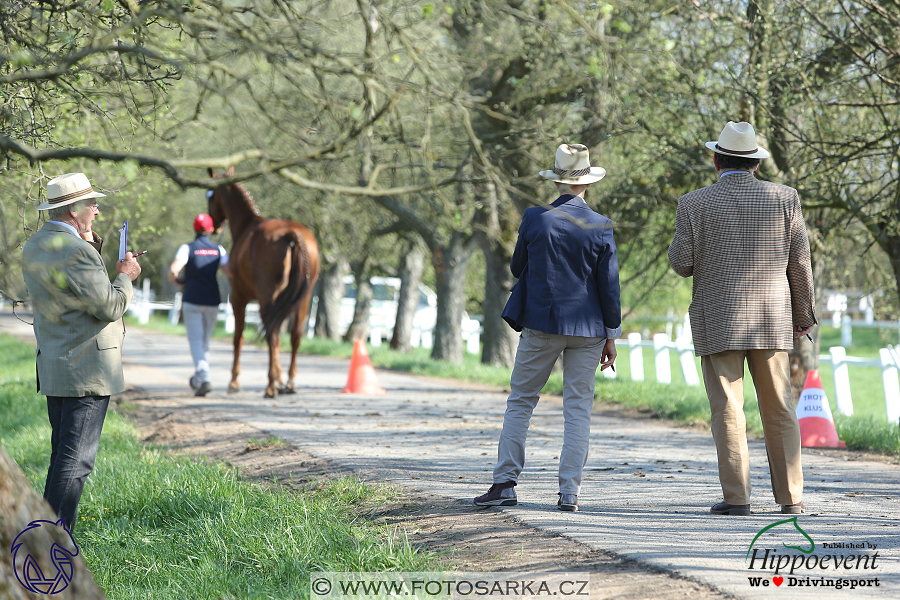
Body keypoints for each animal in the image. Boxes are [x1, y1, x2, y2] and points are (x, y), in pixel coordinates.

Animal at [207, 166, 320, 396]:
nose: (214, 226)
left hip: (268, 298)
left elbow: (238, 337)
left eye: (211, 196)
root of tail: (291, 235)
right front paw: (279, 376)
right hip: (301, 300)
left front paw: (234, 381)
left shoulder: (238, 298)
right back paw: (289, 382)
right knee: (294, 336)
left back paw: (270, 386)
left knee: (272, 335)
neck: (247, 225)